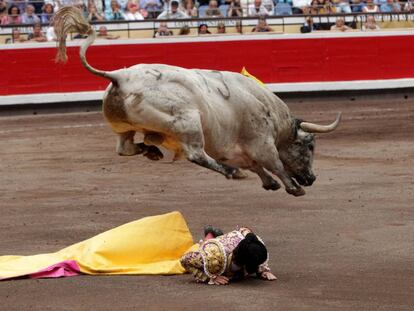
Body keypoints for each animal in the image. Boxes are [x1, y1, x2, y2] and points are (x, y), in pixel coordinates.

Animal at [54, 6, 340, 197]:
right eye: (310, 146)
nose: (311, 178)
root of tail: (119, 76)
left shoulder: (232, 147)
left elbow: (255, 164)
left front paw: (269, 183)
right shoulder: (261, 142)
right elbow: (274, 163)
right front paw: (292, 187)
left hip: (123, 128)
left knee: (124, 148)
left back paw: (152, 150)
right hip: (189, 122)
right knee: (195, 154)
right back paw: (230, 172)